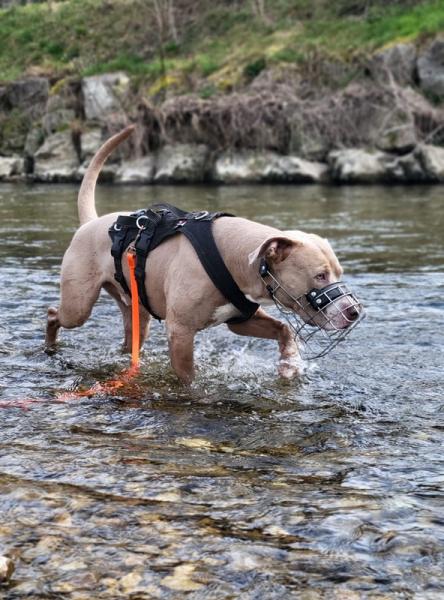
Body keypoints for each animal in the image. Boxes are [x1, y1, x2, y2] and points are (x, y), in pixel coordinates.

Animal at [45, 126, 361, 383]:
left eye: (338, 273)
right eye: (319, 276)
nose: (354, 312)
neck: (234, 256)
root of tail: (91, 223)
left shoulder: (242, 320)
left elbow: (283, 328)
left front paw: (289, 365)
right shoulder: (181, 331)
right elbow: (188, 378)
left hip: (135, 311)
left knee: (129, 339)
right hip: (78, 305)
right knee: (54, 314)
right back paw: (50, 346)